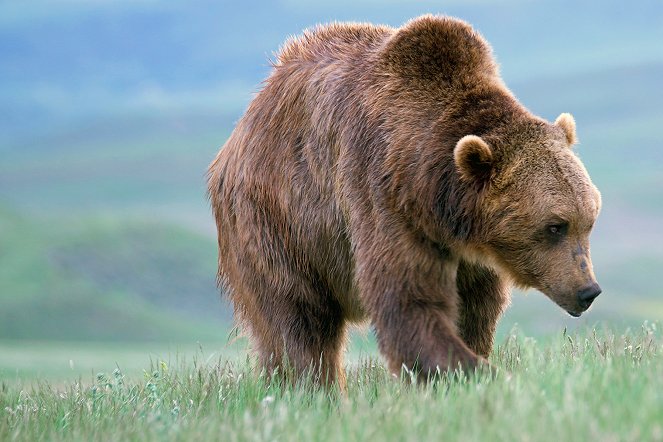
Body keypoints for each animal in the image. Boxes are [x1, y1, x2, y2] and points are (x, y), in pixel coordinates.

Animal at [208, 14, 600, 386]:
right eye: (555, 226)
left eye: (589, 221)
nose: (588, 290)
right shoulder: (383, 194)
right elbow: (408, 299)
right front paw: (478, 371)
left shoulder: (471, 252)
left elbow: (475, 310)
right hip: (277, 224)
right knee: (299, 321)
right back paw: (315, 387)